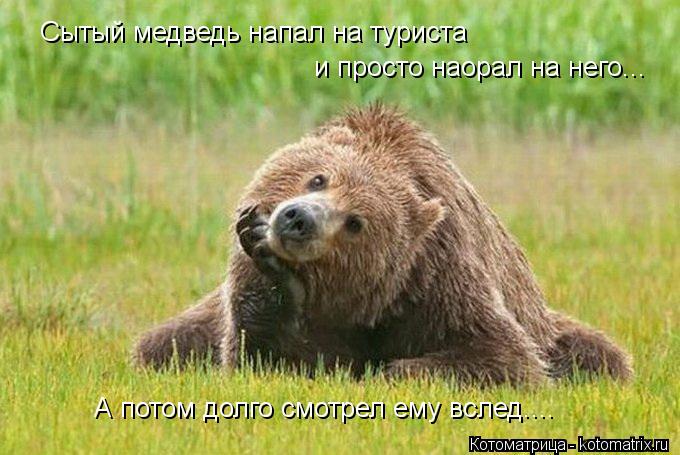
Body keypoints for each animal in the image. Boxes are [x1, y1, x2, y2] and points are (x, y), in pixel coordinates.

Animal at [134, 104, 632, 386]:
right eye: (319, 178)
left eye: (356, 223)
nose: (298, 219)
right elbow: (258, 358)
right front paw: (274, 276)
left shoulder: (436, 279)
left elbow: (503, 356)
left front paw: (389, 371)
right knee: (162, 343)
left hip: (552, 328)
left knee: (600, 355)